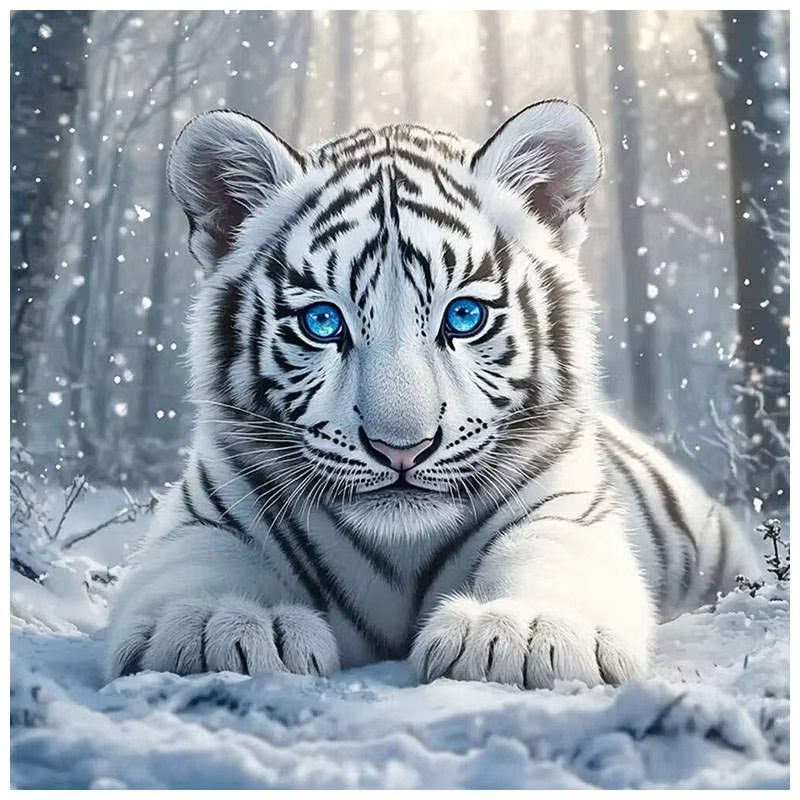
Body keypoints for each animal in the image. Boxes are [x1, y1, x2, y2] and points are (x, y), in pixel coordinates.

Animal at [106, 100, 757, 688]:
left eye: (464, 316)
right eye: (323, 322)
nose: (401, 448)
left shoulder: (568, 509)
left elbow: (552, 557)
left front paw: (519, 633)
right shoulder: (207, 513)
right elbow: (199, 565)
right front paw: (223, 626)